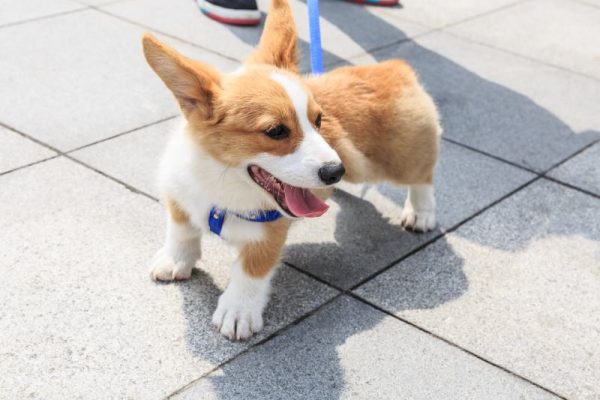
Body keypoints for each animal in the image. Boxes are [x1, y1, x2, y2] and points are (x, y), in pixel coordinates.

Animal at [142, 0, 440, 340]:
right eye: (276, 131)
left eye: (319, 120)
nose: (335, 171)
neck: (221, 177)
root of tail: (394, 67)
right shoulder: (178, 197)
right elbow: (181, 232)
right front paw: (175, 261)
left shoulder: (267, 236)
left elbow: (249, 273)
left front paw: (237, 312)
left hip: (390, 163)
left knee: (422, 175)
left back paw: (421, 213)